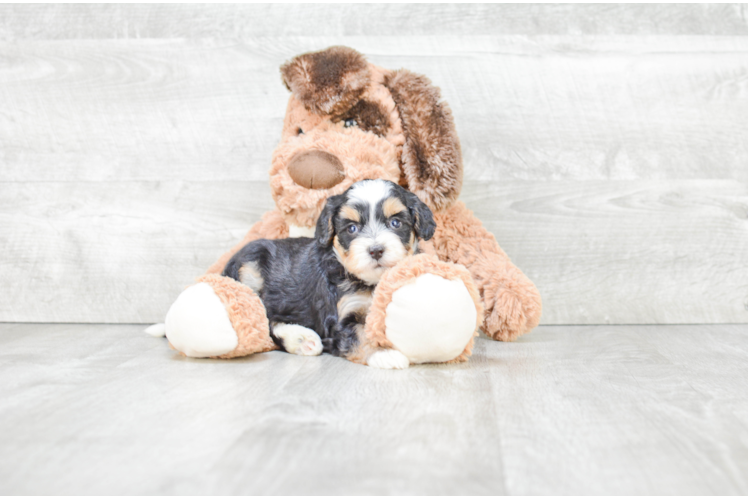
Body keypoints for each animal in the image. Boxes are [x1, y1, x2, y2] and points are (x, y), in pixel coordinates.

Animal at [222, 178, 436, 366]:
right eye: (352, 228)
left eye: (395, 223)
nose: (376, 250)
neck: (368, 281)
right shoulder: (341, 317)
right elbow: (360, 335)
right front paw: (384, 354)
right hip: (249, 269)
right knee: (261, 318)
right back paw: (301, 338)